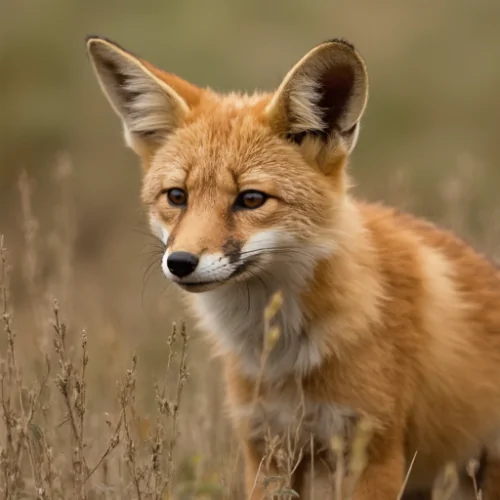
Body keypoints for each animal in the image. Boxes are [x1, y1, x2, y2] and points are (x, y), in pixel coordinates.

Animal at [85, 36, 500, 500]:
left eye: (250, 199)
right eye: (177, 196)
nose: (180, 263)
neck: (288, 355)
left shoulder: (373, 454)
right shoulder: (266, 449)